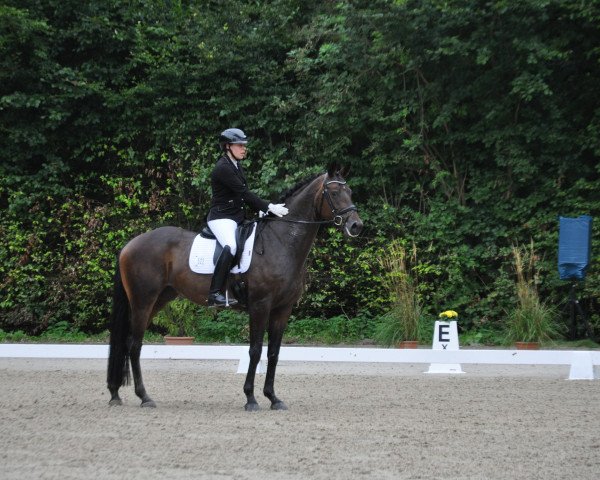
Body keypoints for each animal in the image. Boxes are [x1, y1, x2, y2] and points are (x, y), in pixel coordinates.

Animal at [105, 164, 364, 408]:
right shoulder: (260, 305)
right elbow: (255, 350)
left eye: (350, 191)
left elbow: (273, 352)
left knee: (128, 342)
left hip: (159, 299)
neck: (281, 243)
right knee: (134, 345)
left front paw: (273, 398)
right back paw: (144, 397)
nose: (356, 226)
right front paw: (251, 398)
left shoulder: (282, 309)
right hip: (143, 300)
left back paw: (116, 394)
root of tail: (131, 244)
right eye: (333, 192)